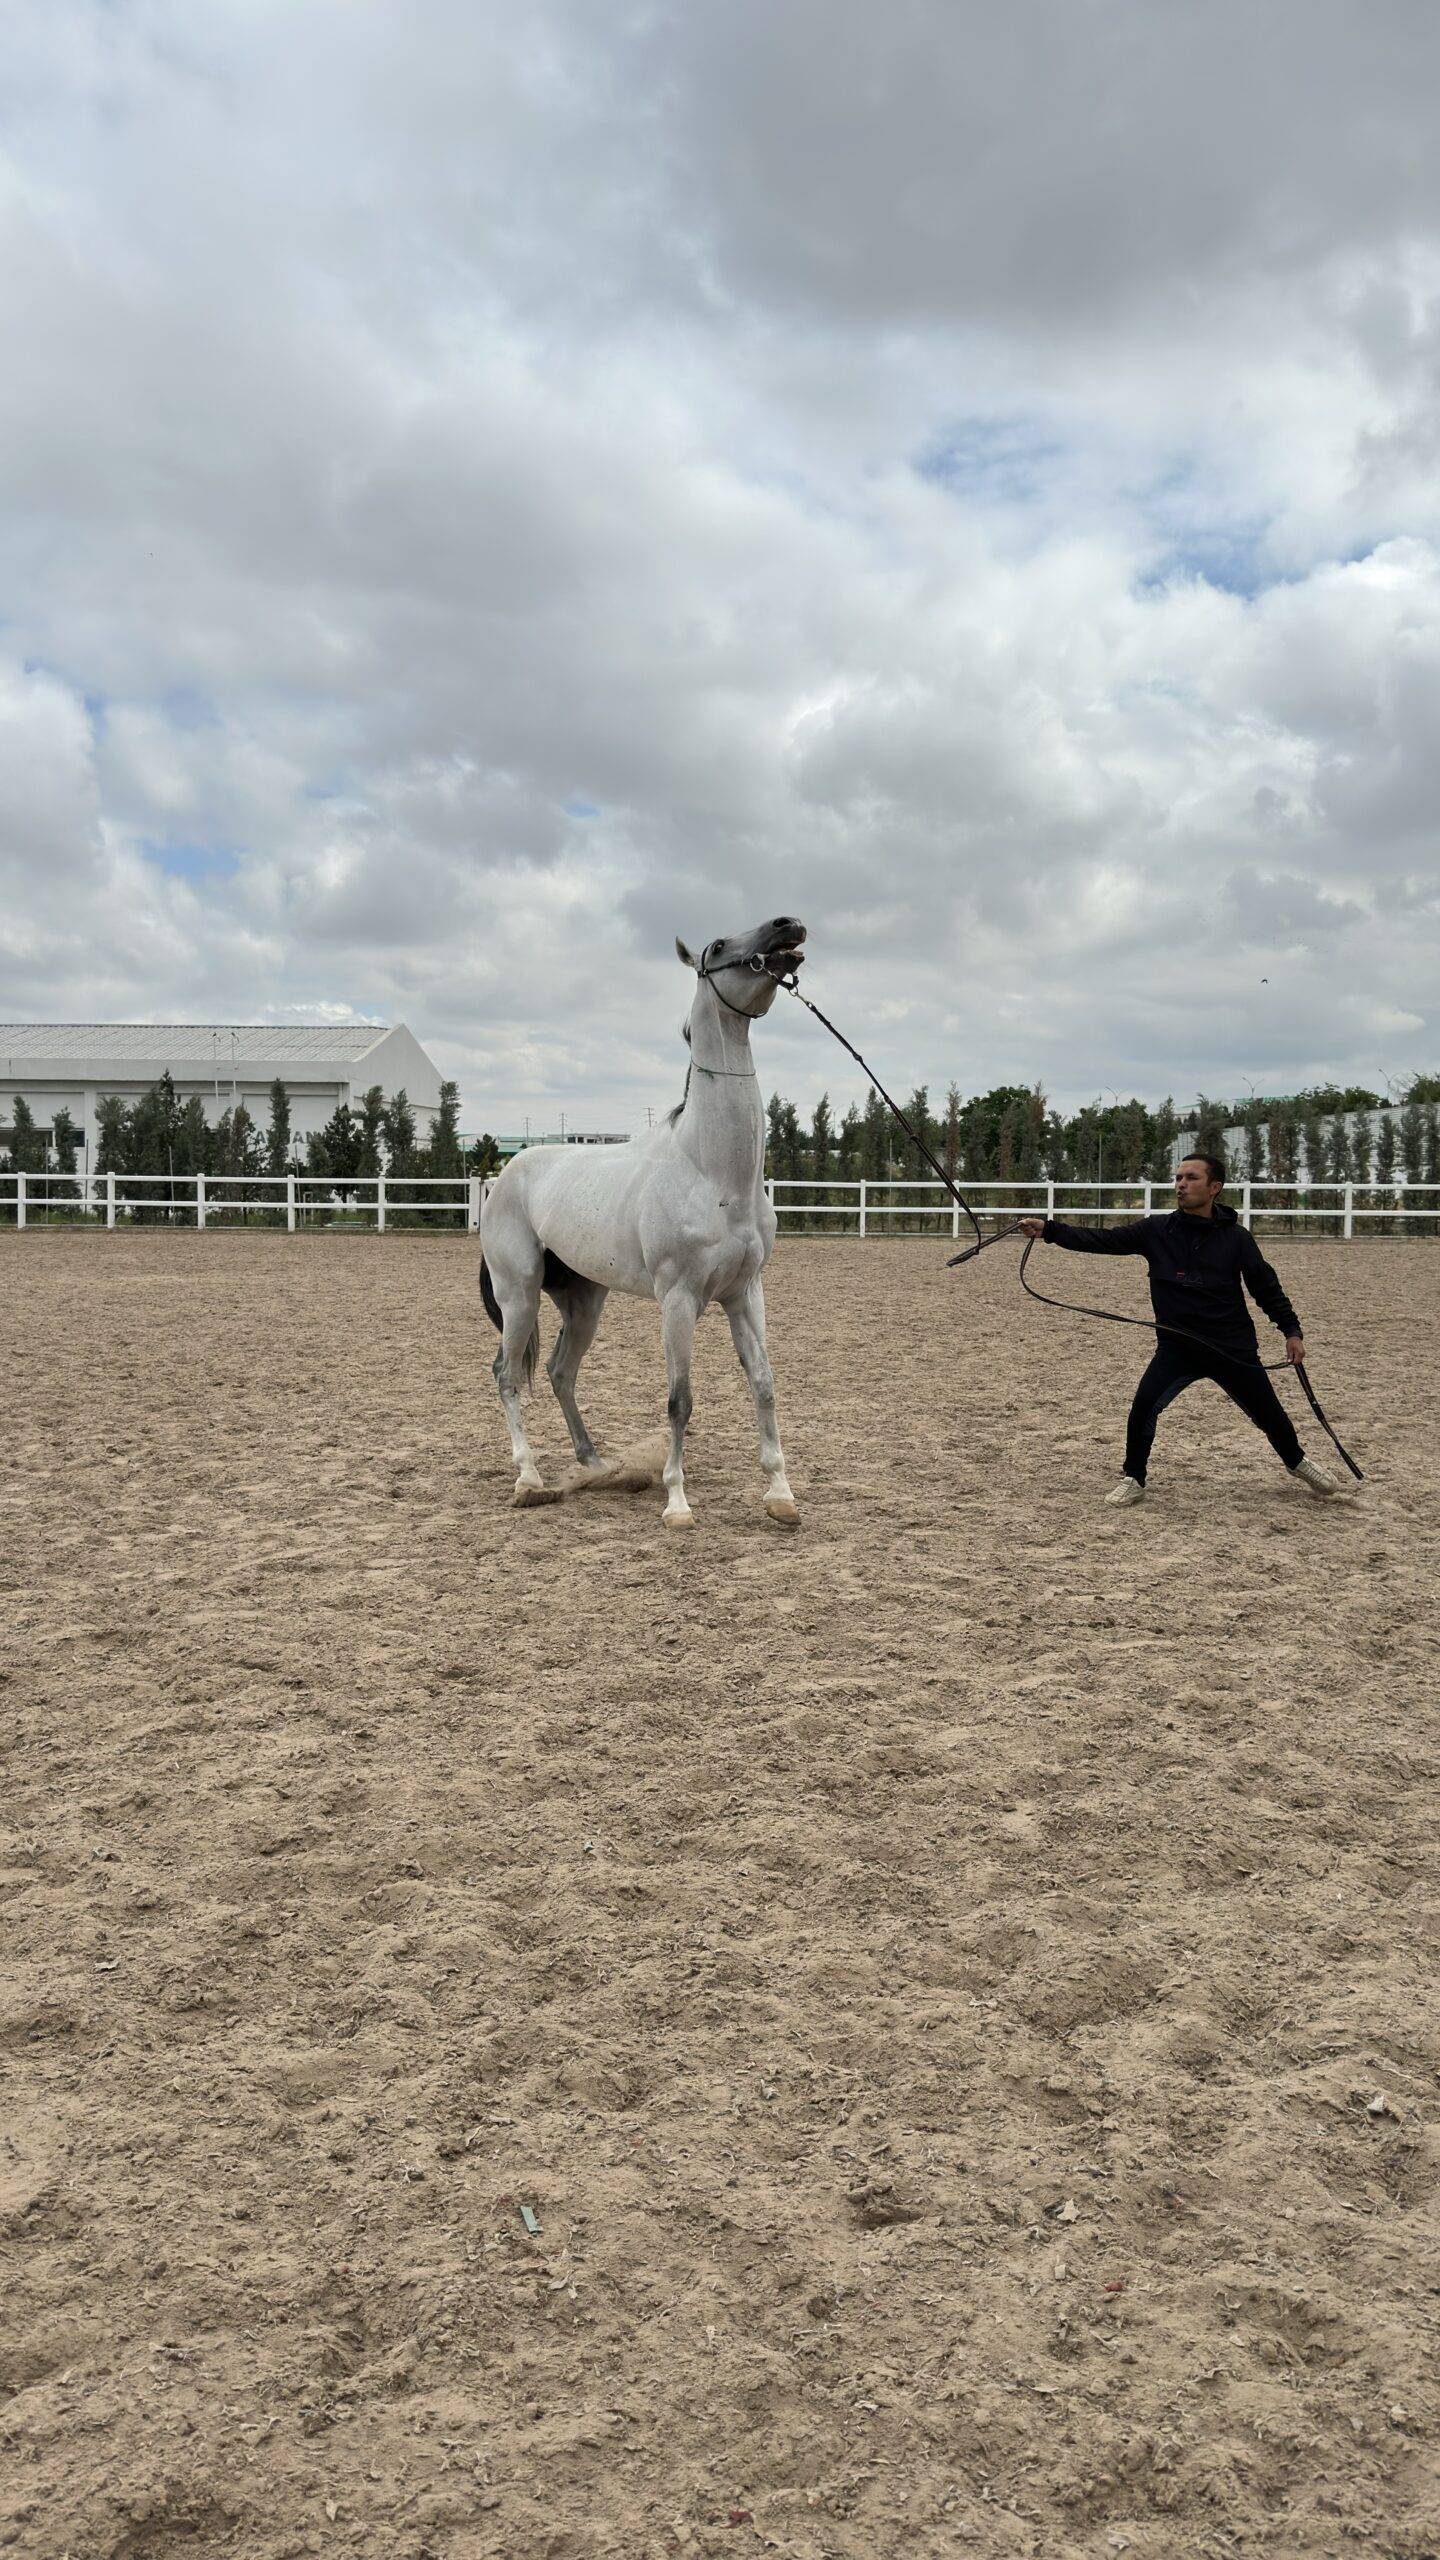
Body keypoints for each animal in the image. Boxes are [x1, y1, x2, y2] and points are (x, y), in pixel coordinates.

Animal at [479, 913, 807, 1529]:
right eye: (718, 947)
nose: (788, 927)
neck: (712, 1172)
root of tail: (505, 1175)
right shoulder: (678, 1299)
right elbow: (679, 1399)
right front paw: (677, 1502)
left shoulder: (745, 1294)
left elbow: (765, 1384)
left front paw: (781, 1494)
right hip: (520, 1296)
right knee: (508, 1375)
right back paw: (529, 1479)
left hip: (585, 1302)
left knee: (559, 1371)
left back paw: (595, 1464)